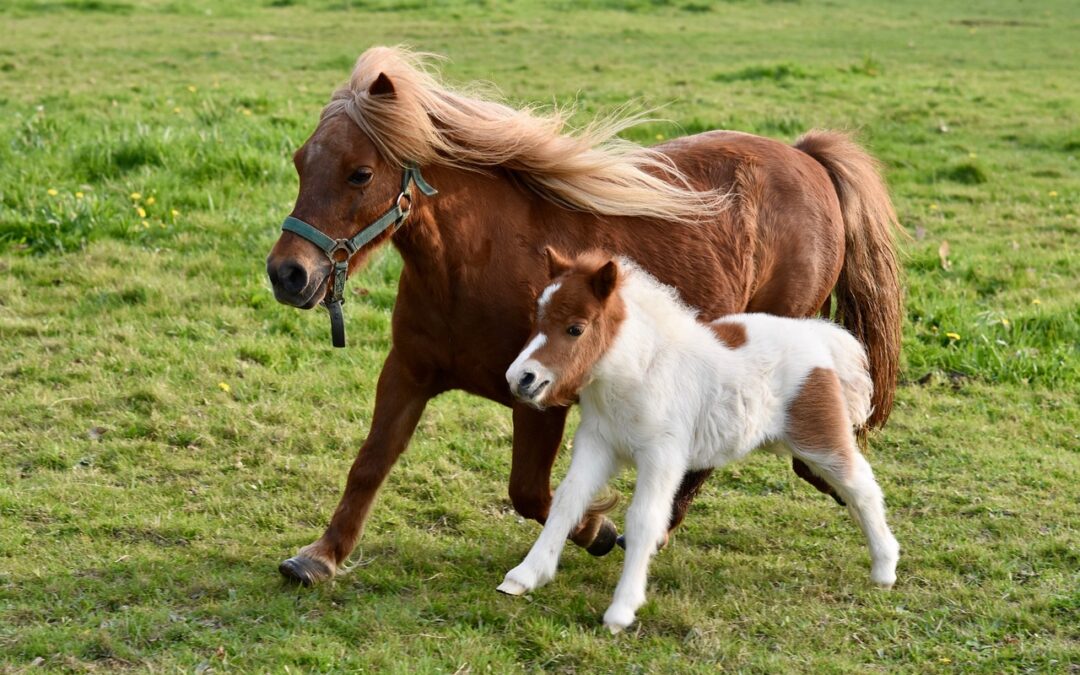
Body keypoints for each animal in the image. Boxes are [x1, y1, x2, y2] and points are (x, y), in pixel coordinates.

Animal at [265, 47, 898, 583]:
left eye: (360, 173)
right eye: (299, 162)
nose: (287, 274)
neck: (474, 263)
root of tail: (807, 158)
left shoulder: (540, 397)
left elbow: (531, 492)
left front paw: (597, 528)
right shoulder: (407, 372)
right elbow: (370, 463)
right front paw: (320, 556)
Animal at [501, 247, 898, 630]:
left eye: (575, 329)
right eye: (537, 319)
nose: (520, 378)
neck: (640, 371)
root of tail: (818, 336)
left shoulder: (662, 456)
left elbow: (644, 519)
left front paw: (621, 611)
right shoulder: (598, 444)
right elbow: (567, 501)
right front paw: (524, 576)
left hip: (819, 438)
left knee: (861, 486)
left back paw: (885, 567)